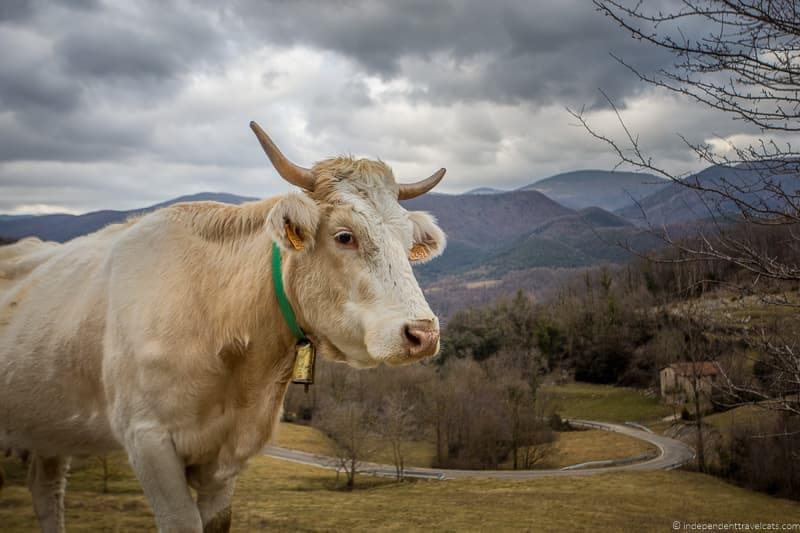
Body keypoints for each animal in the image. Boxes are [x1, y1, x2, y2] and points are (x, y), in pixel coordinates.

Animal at [0, 121, 444, 532]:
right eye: (345, 236)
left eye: (408, 244)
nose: (423, 333)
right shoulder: (147, 439)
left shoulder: (227, 457)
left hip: (48, 429)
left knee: (46, 490)